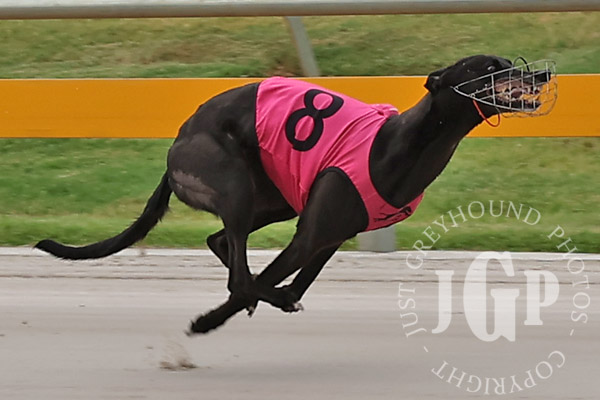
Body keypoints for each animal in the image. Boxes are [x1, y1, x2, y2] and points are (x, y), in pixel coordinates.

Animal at [36, 55, 555, 335]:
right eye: (488, 68)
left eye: (508, 63)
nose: (544, 76)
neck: (401, 143)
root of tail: (179, 141)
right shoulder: (311, 235)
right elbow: (262, 282)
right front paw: (207, 322)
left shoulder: (330, 235)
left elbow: (298, 282)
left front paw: (279, 298)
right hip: (232, 182)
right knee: (238, 272)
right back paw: (234, 303)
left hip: (275, 197)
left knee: (222, 244)